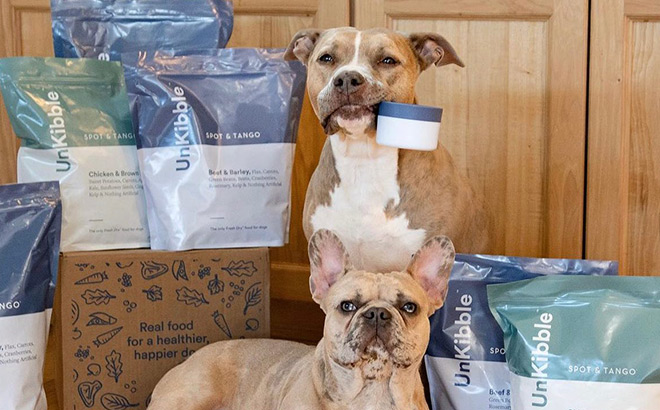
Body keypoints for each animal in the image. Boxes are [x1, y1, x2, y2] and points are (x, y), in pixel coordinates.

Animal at [148, 231, 456, 410]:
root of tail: (188, 359)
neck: (372, 389)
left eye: (409, 307)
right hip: (190, 396)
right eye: (347, 306)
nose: (377, 313)